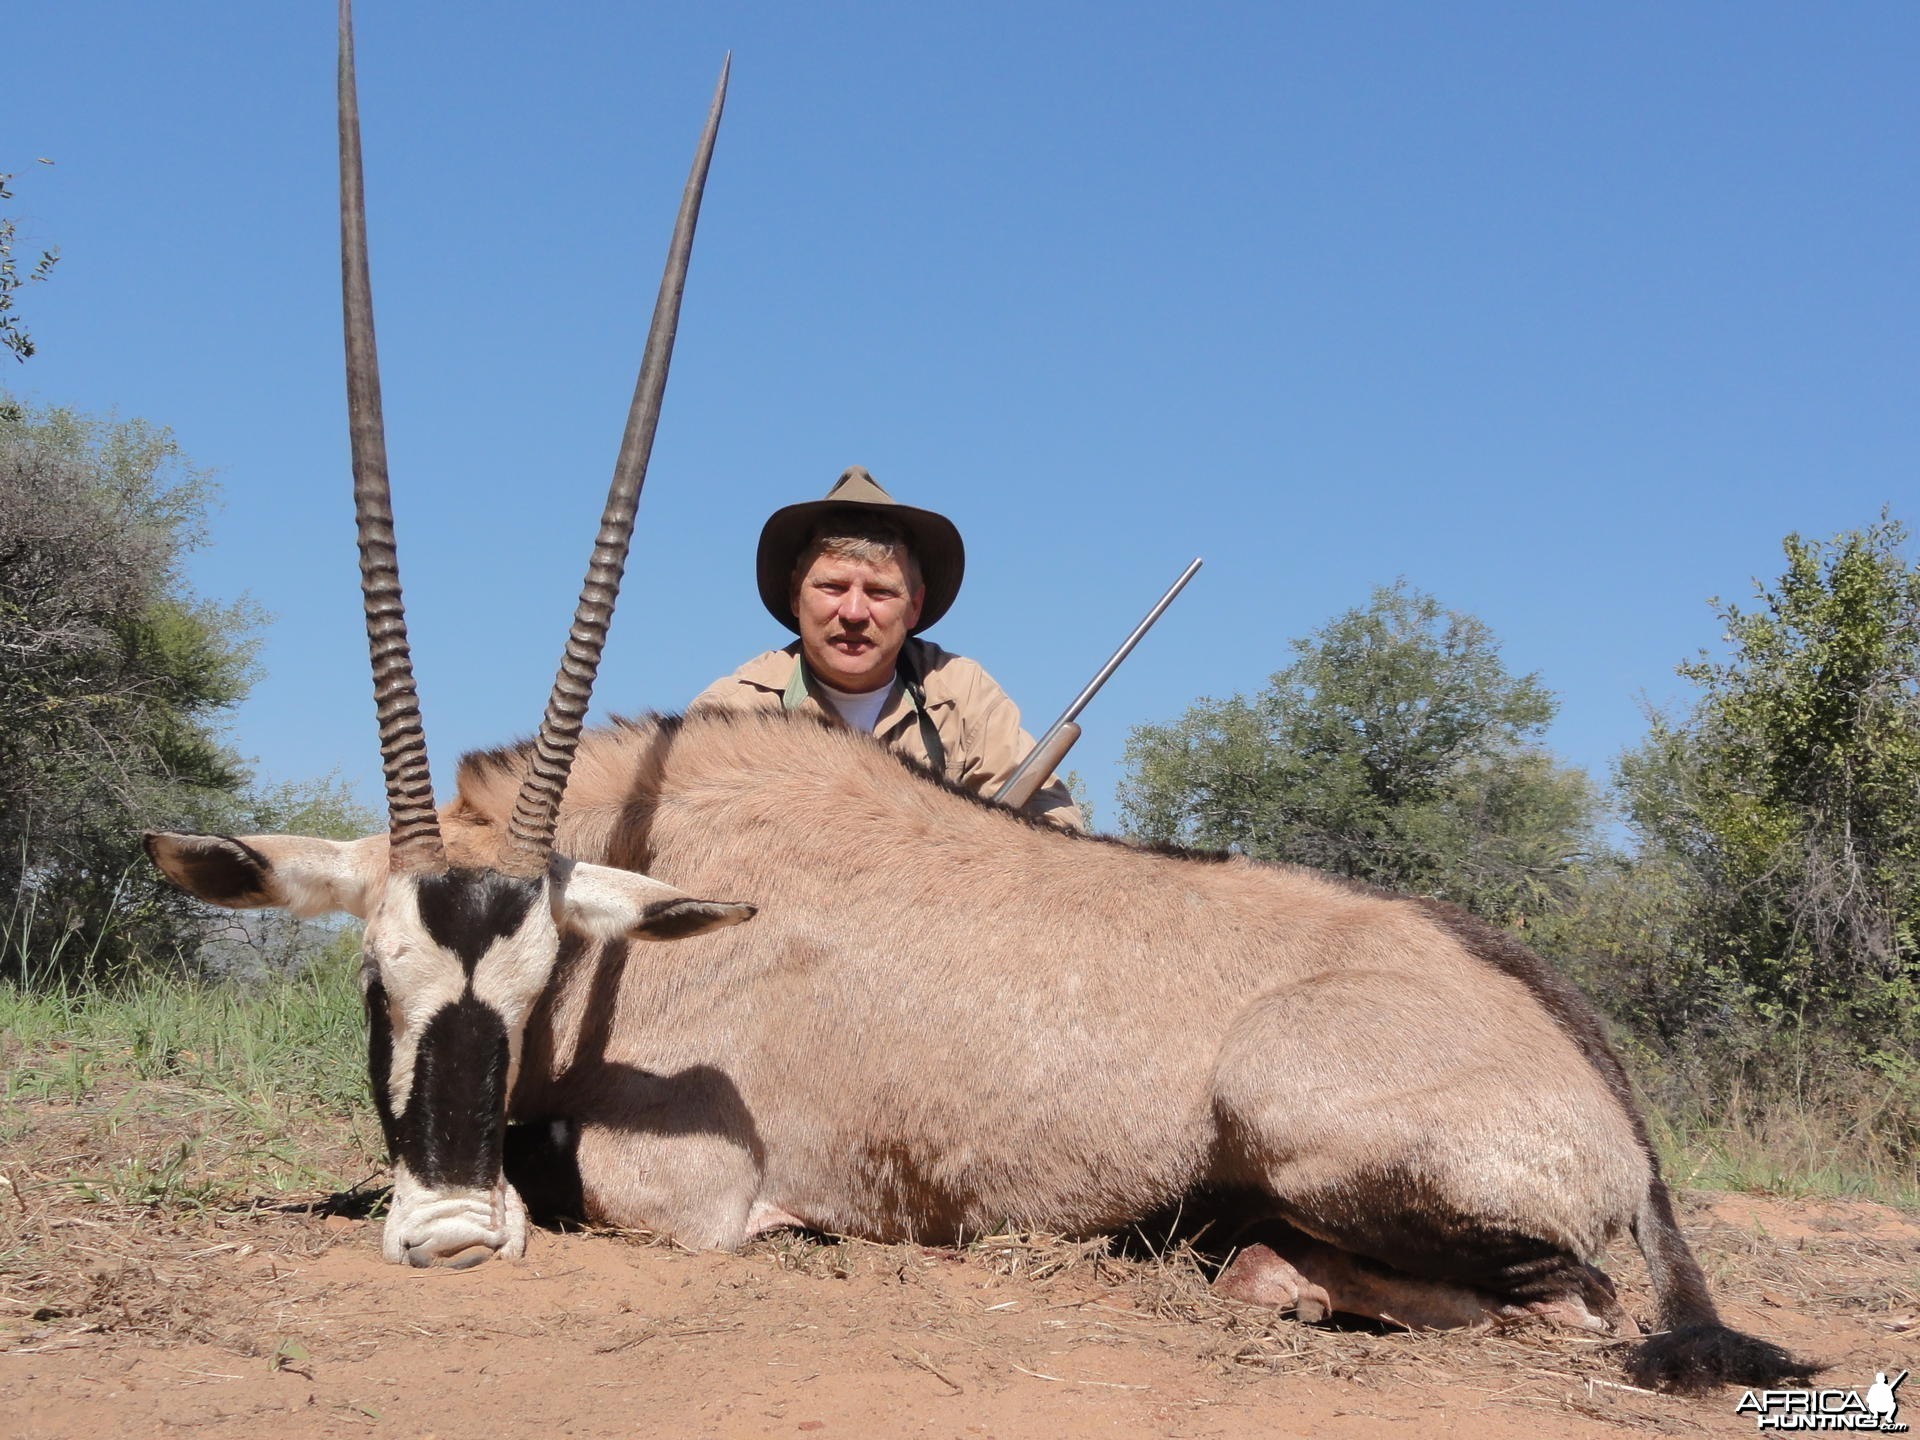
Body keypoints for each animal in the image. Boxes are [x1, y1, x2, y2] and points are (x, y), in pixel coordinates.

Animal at [145, 0, 1812, 1397]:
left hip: (1312, 1128)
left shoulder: (676, 1190)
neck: (676, 864)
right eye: (378, 975)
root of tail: (1606, 1093)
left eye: (542, 974)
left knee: (1557, 1303)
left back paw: (1255, 1264)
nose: (448, 1235)